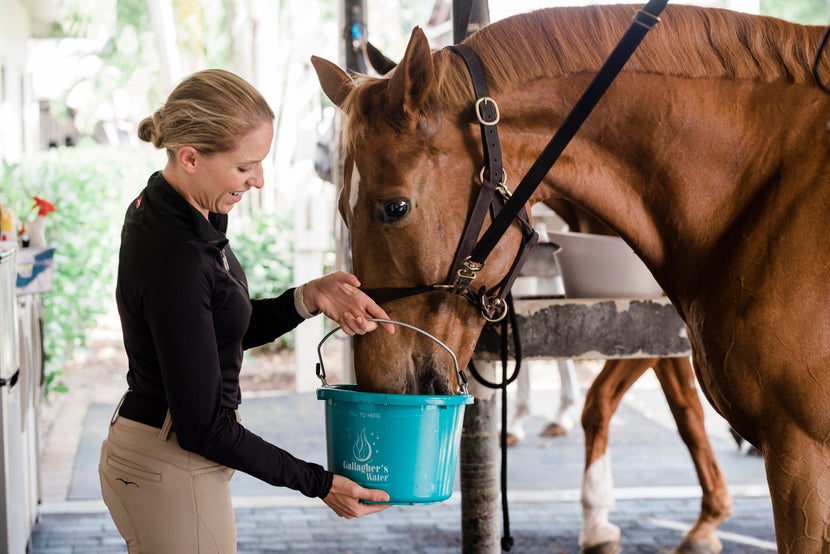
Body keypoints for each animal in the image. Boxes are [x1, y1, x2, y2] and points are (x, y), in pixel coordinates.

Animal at [312, 5, 830, 552]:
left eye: (395, 207)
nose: (379, 384)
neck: (762, 192)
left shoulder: (801, 456)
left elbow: (614, 402)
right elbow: (676, 408)